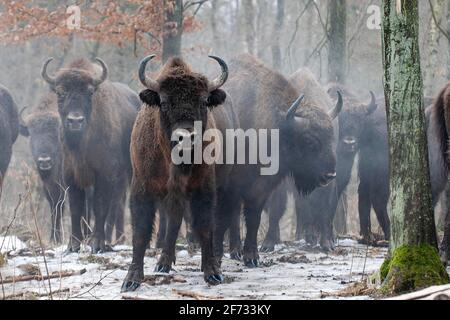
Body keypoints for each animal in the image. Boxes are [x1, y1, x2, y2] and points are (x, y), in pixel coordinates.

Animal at [42, 57, 142, 252]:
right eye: (61, 92)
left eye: (89, 92)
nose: (75, 121)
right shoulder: (71, 175)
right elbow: (76, 207)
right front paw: (73, 244)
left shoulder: (105, 174)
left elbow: (100, 206)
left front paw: (97, 243)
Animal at [119, 55, 239, 292]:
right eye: (164, 102)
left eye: (203, 102)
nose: (186, 137)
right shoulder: (142, 188)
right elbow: (140, 232)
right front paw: (131, 279)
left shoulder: (204, 188)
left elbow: (205, 226)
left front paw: (212, 273)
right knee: (174, 221)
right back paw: (163, 264)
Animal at [214, 55, 342, 268]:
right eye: (309, 140)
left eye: (332, 136)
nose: (330, 174)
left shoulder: (263, 187)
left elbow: (254, 218)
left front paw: (252, 257)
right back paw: (233, 250)